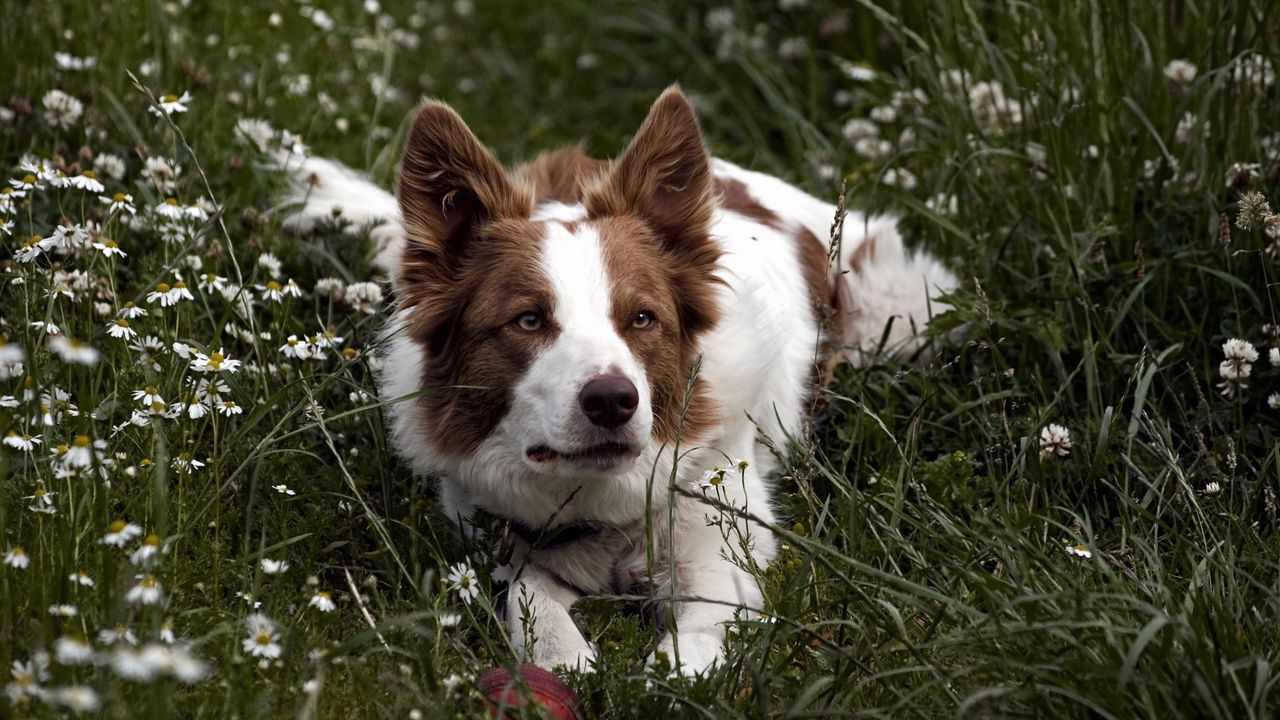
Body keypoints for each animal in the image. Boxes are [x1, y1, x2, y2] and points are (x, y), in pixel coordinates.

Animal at [285, 85, 957, 671]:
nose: (612, 401)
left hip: (904, 314)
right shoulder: (502, 542)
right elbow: (532, 599)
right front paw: (567, 664)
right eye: (528, 319)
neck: (606, 497)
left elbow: (690, 654)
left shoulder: (721, 556)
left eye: (642, 318)